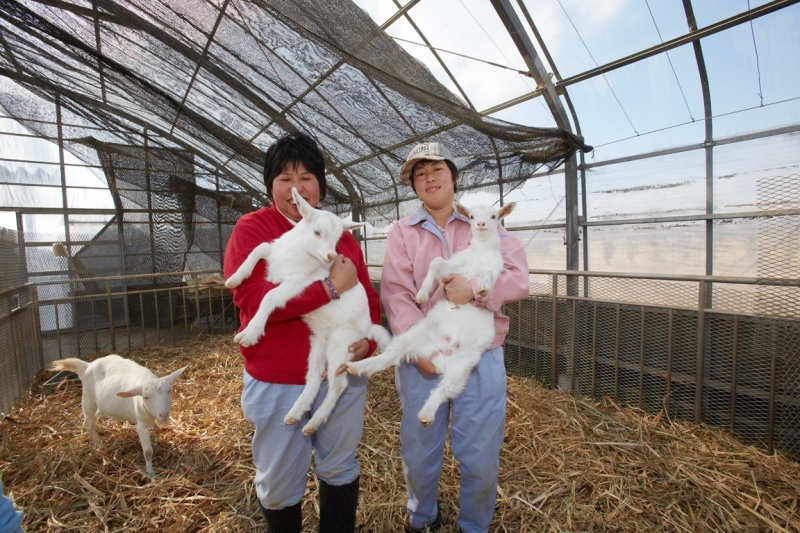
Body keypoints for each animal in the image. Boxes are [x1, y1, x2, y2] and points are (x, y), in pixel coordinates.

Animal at [47, 356, 189, 476]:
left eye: (169, 391)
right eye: (146, 397)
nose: (164, 414)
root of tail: (88, 365)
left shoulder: (151, 416)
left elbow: (157, 429)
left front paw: (158, 442)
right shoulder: (141, 424)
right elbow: (148, 452)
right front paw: (151, 473)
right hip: (88, 398)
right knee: (88, 423)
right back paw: (99, 443)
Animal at [225, 186, 390, 432]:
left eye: (338, 238)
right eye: (316, 232)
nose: (331, 256)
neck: (298, 254)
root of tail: (367, 327)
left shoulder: (297, 282)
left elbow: (270, 297)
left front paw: (250, 333)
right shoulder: (273, 252)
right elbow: (260, 247)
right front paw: (235, 278)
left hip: (341, 343)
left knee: (338, 384)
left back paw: (314, 421)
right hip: (319, 344)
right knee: (313, 377)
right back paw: (295, 413)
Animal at [346, 200, 516, 424]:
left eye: (494, 216)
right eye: (471, 216)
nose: (480, 224)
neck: (479, 252)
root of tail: (439, 353)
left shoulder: (495, 268)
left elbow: (487, 275)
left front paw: (482, 289)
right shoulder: (452, 270)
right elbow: (436, 262)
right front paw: (422, 294)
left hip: (463, 364)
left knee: (444, 389)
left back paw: (426, 414)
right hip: (412, 337)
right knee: (389, 357)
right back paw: (357, 367)